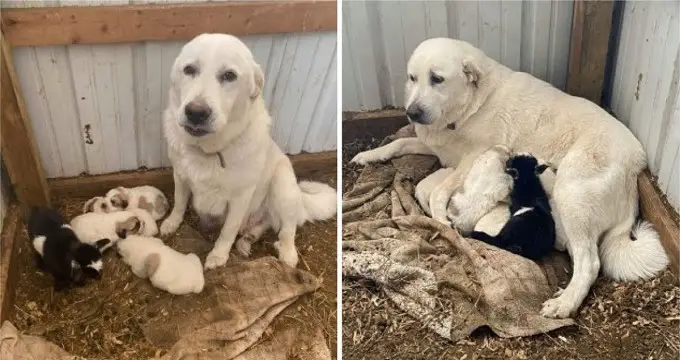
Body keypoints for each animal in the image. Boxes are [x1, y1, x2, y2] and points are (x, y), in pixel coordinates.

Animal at [160, 34, 340, 270]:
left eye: (229, 76)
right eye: (189, 69)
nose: (196, 112)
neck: (210, 150)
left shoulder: (240, 198)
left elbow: (228, 230)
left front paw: (218, 256)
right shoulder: (180, 177)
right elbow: (179, 204)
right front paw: (171, 223)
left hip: (283, 186)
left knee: (288, 229)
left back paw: (287, 254)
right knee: (260, 227)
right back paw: (247, 241)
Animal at [350, 37, 668, 318]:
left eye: (437, 79)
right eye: (412, 78)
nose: (412, 112)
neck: (470, 106)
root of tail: (635, 166)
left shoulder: (471, 157)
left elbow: (440, 190)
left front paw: (441, 220)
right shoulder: (439, 148)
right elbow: (399, 144)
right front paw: (369, 155)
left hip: (571, 193)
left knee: (590, 263)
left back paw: (564, 304)